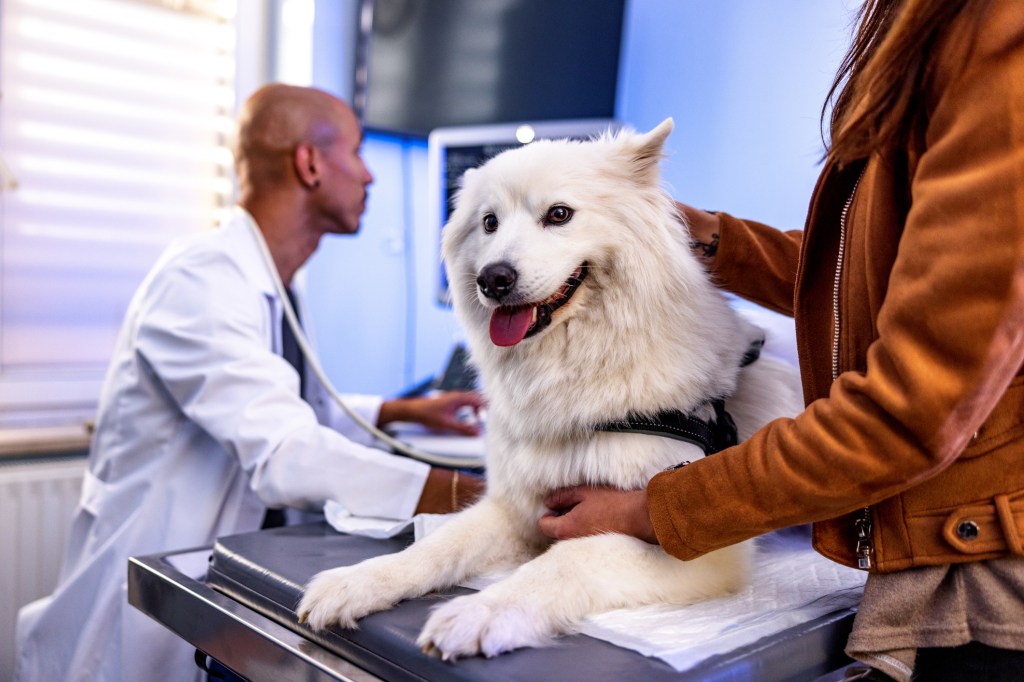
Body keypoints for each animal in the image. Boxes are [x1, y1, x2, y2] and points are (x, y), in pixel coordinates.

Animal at [299, 119, 806, 655]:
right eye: (489, 223)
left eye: (559, 214)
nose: (493, 279)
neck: (573, 369)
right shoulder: (516, 508)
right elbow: (436, 545)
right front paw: (357, 581)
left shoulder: (685, 543)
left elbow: (569, 559)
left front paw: (482, 612)